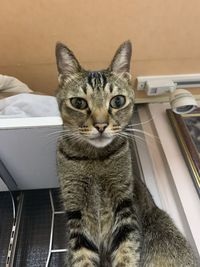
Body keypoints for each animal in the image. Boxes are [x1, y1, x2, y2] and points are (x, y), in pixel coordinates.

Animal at [54, 40, 197, 266]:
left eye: (118, 101)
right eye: (78, 103)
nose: (101, 125)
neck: (95, 158)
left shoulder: (125, 208)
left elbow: (127, 253)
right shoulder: (76, 214)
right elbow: (82, 257)